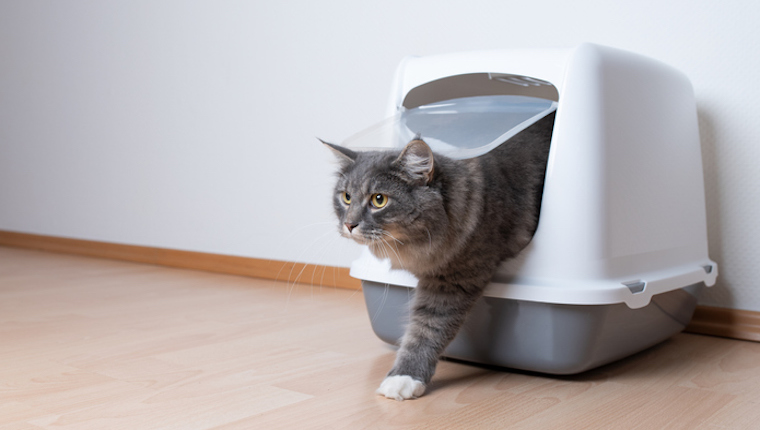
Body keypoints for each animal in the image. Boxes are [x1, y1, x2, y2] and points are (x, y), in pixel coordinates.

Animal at [326, 112, 552, 402]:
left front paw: (404, 379)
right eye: (346, 197)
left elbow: (425, 331)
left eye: (379, 200)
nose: (349, 225)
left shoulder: (451, 281)